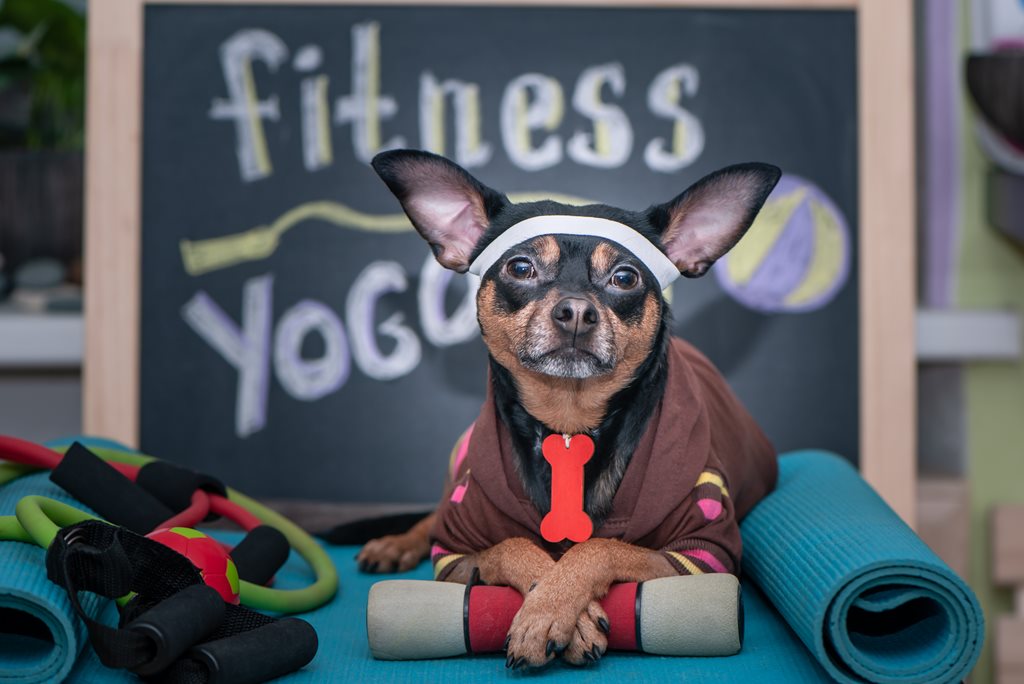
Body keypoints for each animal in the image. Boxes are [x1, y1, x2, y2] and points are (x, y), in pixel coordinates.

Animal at [356, 149, 778, 667]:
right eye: (520, 268)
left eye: (625, 277)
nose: (576, 310)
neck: (568, 423)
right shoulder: (457, 555)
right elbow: (511, 545)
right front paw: (548, 604)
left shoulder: (699, 554)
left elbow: (601, 545)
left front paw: (551, 611)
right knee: (432, 514)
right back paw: (395, 543)